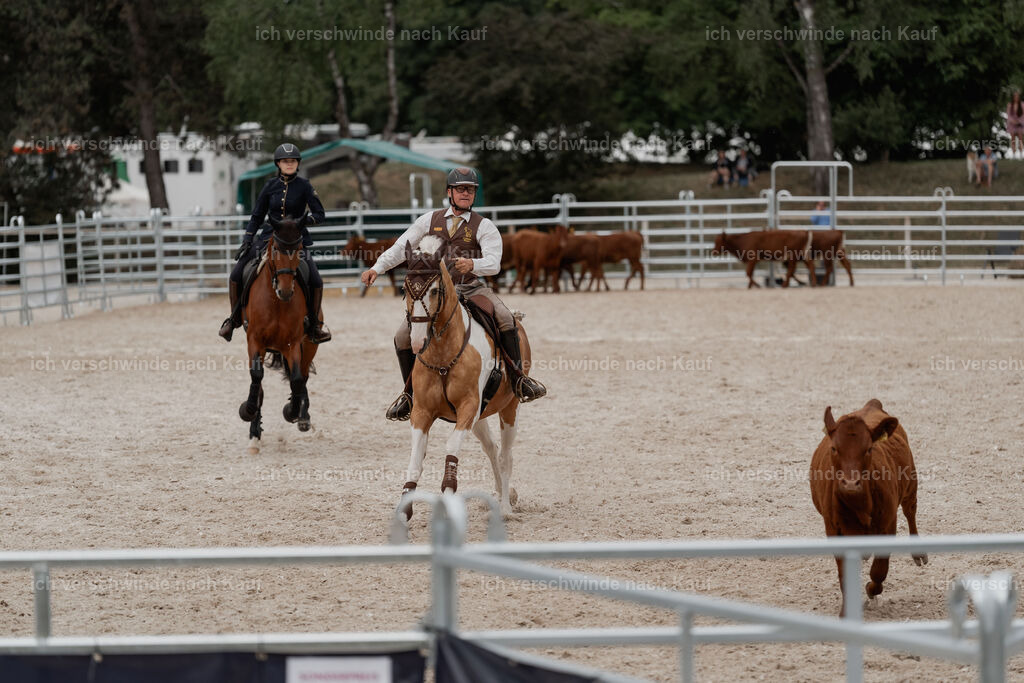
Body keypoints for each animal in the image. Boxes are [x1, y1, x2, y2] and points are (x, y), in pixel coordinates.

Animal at [237, 216, 320, 454]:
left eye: (299, 249)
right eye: (276, 250)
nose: (285, 290)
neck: (276, 302)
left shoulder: (292, 343)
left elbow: (296, 379)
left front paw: (291, 411)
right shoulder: (254, 341)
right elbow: (257, 378)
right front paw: (249, 413)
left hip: (309, 344)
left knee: (303, 376)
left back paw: (303, 416)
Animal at [398, 235, 528, 518]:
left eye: (435, 291)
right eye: (404, 289)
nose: (417, 342)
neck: (443, 358)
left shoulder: (468, 408)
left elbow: (451, 449)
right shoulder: (422, 412)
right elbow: (415, 461)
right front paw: (404, 509)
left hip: (509, 409)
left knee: (505, 456)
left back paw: (505, 506)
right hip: (481, 416)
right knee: (491, 449)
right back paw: (502, 495)